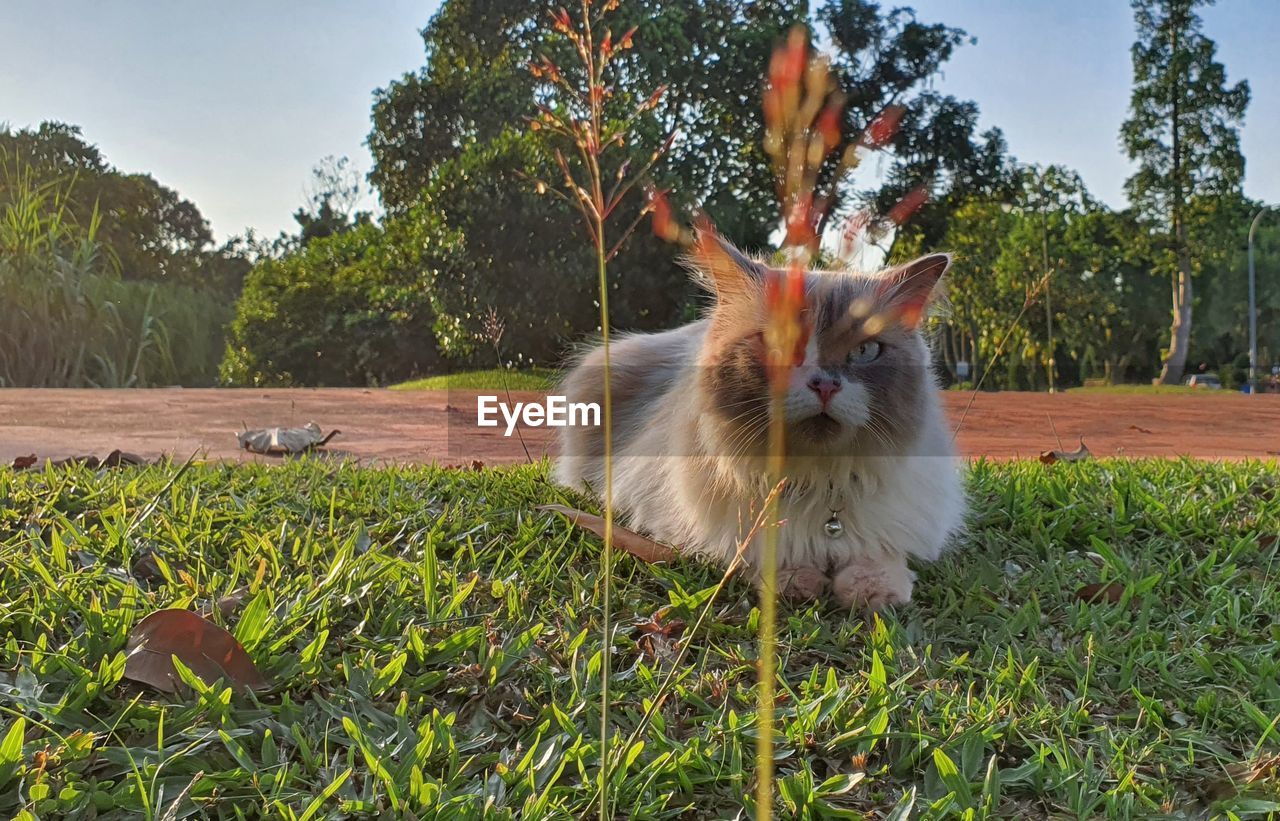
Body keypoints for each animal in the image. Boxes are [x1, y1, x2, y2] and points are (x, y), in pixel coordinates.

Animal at [555, 233, 962, 604]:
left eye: (865, 351)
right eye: (778, 345)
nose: (825, 385)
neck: (815, 482)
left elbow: (879, 558)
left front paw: (874, 594)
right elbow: (766, 555)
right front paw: (798, 582)